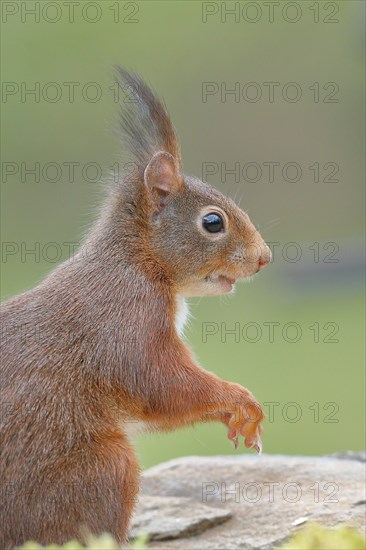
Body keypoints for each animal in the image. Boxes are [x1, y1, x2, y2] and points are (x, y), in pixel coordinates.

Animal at [0, 68, 268, 548]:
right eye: (212, 222)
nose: (264, 258)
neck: (137, 260)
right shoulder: (127, 316)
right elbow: (160, 383)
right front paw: (241, 402)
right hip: (104, 468)